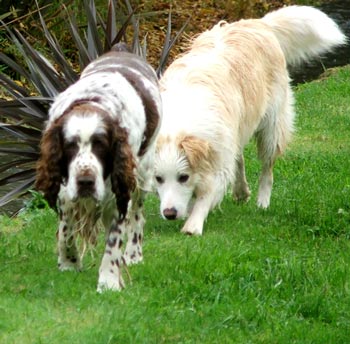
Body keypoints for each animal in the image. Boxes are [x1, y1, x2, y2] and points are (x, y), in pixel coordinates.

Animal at [36, 45, 162, 292]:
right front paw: (69, 262)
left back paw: (133, 254)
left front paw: (109, 281)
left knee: (137, 216)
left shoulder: (118, 192)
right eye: (70, 145)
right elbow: (66, 228)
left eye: (101, 145)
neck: (92, 101)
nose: (85, 182)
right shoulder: (66, 190)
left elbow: (113, 242)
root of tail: (121, 49)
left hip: (142, 172)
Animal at [154, 6, 346, 234]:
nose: (169, 214)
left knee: (267, 170)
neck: (182, 116)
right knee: (239, 158)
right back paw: (241, 191)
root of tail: (258, 23)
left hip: (272, 129)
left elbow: (206, 195)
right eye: (158, 179)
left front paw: (193, 224)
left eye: (183, 177)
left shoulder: (218, 159)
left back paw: (262, 202)